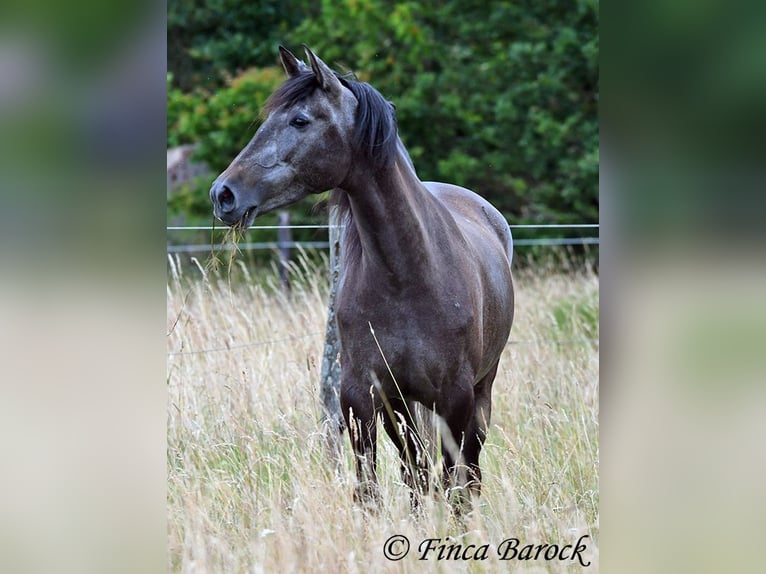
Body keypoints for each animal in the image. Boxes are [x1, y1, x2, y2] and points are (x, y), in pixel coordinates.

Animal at [210, 47, 516, 510]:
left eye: (300, 120)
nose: (223, 194)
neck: (407, 277)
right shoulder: (364, 398)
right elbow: (375, 489)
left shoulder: (456, 399)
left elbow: (454, 484)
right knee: (417, 471)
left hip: (481, 391)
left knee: (468, 471)